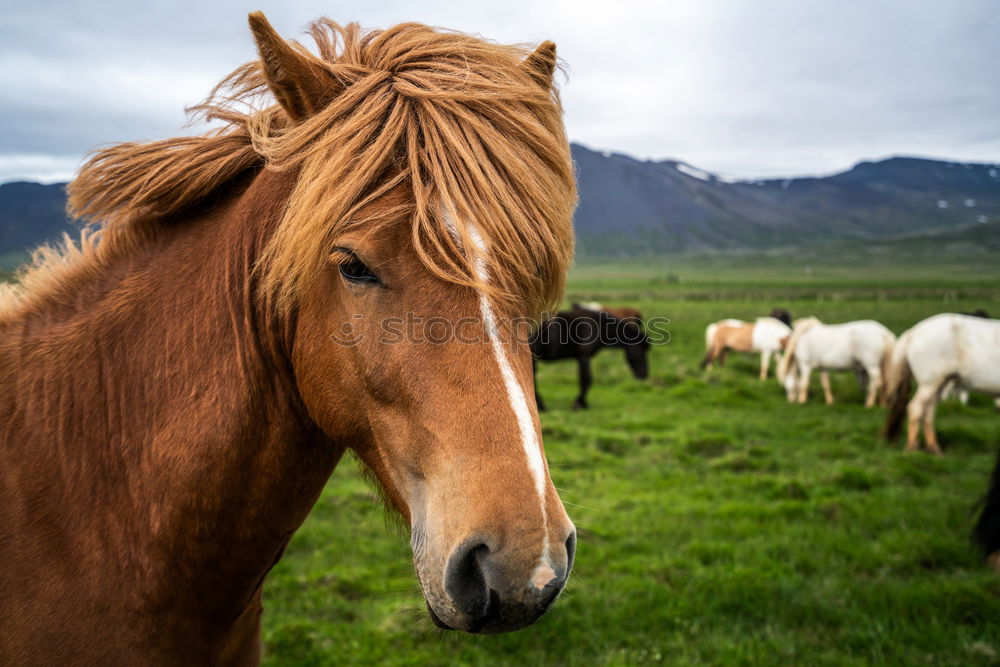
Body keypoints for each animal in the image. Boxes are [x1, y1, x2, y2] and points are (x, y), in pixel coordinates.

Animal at [884, 314, 1000, 454]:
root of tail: (913, 332)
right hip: (929, 383)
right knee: (915, 408)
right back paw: (912, 448)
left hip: (940, 383)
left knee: (928, 412)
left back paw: (934, 449)